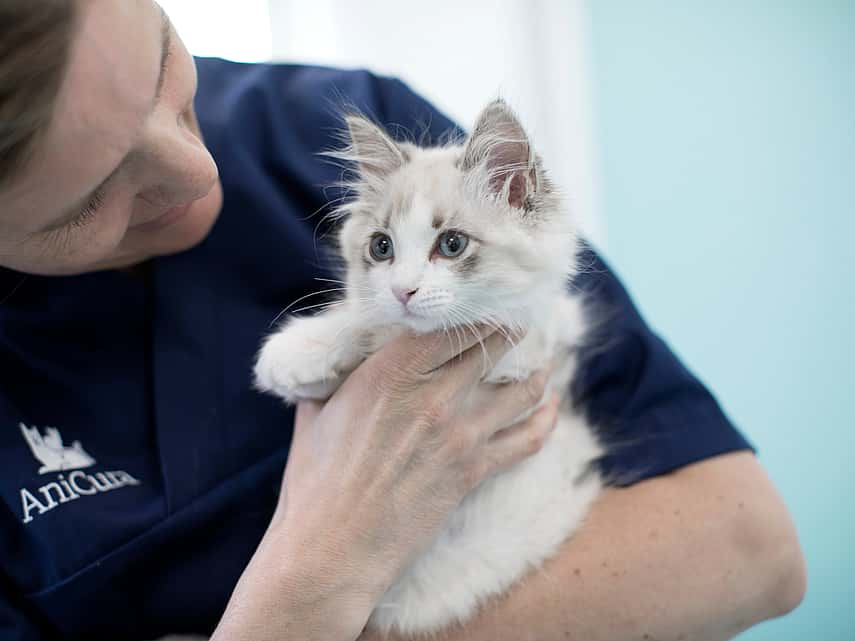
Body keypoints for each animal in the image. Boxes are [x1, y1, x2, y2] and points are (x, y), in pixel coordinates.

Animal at [252, 100, 600, 636]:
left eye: (452, 244)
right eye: (381, 248)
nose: (403, 290)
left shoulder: (554, 341)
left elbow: (524, 328)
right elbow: (364, 322)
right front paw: (301, 351)